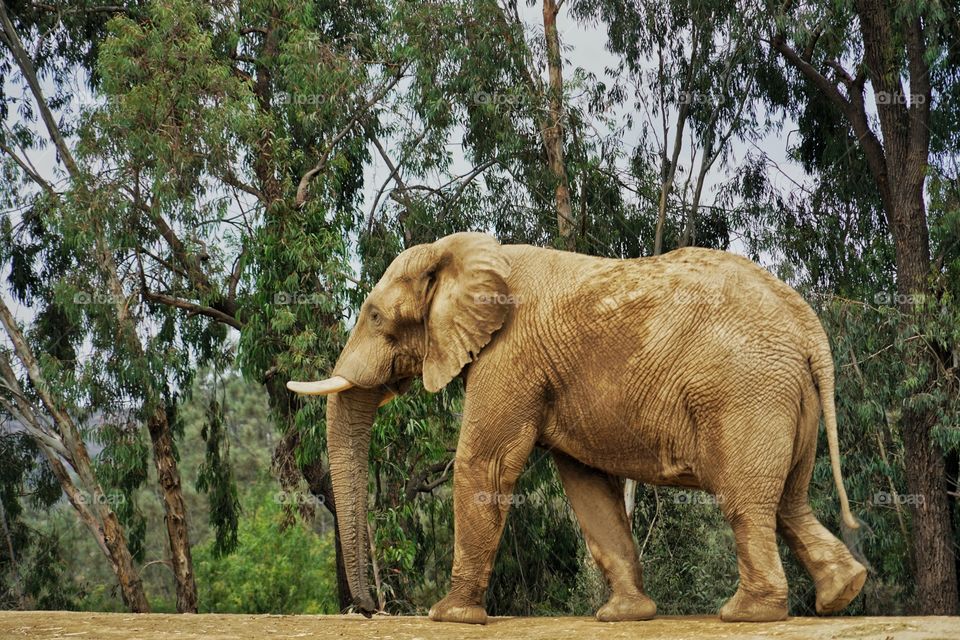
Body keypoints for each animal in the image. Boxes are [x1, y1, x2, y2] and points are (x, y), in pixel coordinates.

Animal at [287, 232, 867, 624]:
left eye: (375, 317)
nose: (369, 610)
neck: (464, 251)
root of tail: (809, 327)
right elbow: (587, 485)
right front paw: (624, 616)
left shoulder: (510, 355)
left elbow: (485, 464)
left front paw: (448, 616)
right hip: (787, 397)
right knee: (789, 500)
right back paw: (843, 590)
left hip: (745, 392)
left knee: (746, 501)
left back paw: (745, 613)